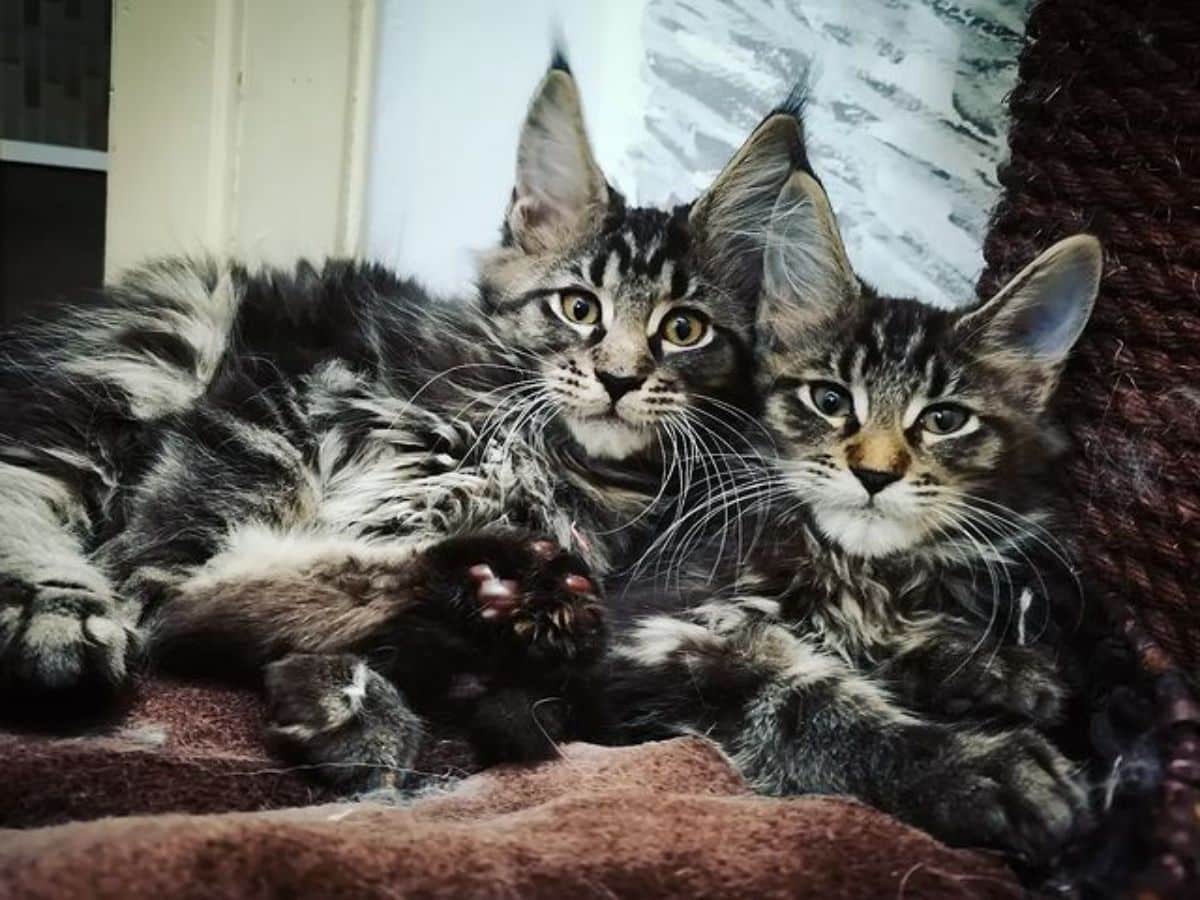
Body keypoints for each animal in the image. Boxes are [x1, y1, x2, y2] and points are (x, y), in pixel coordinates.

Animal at [2, 60, 806, 787]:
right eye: (579, 308)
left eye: (684, 329)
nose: (620, 378)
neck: (545, 449)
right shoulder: (270, 406)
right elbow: (177, 571)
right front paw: (351, 691)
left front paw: (359, 692)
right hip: (154, 356)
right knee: (40, 501)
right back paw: (60, 620)